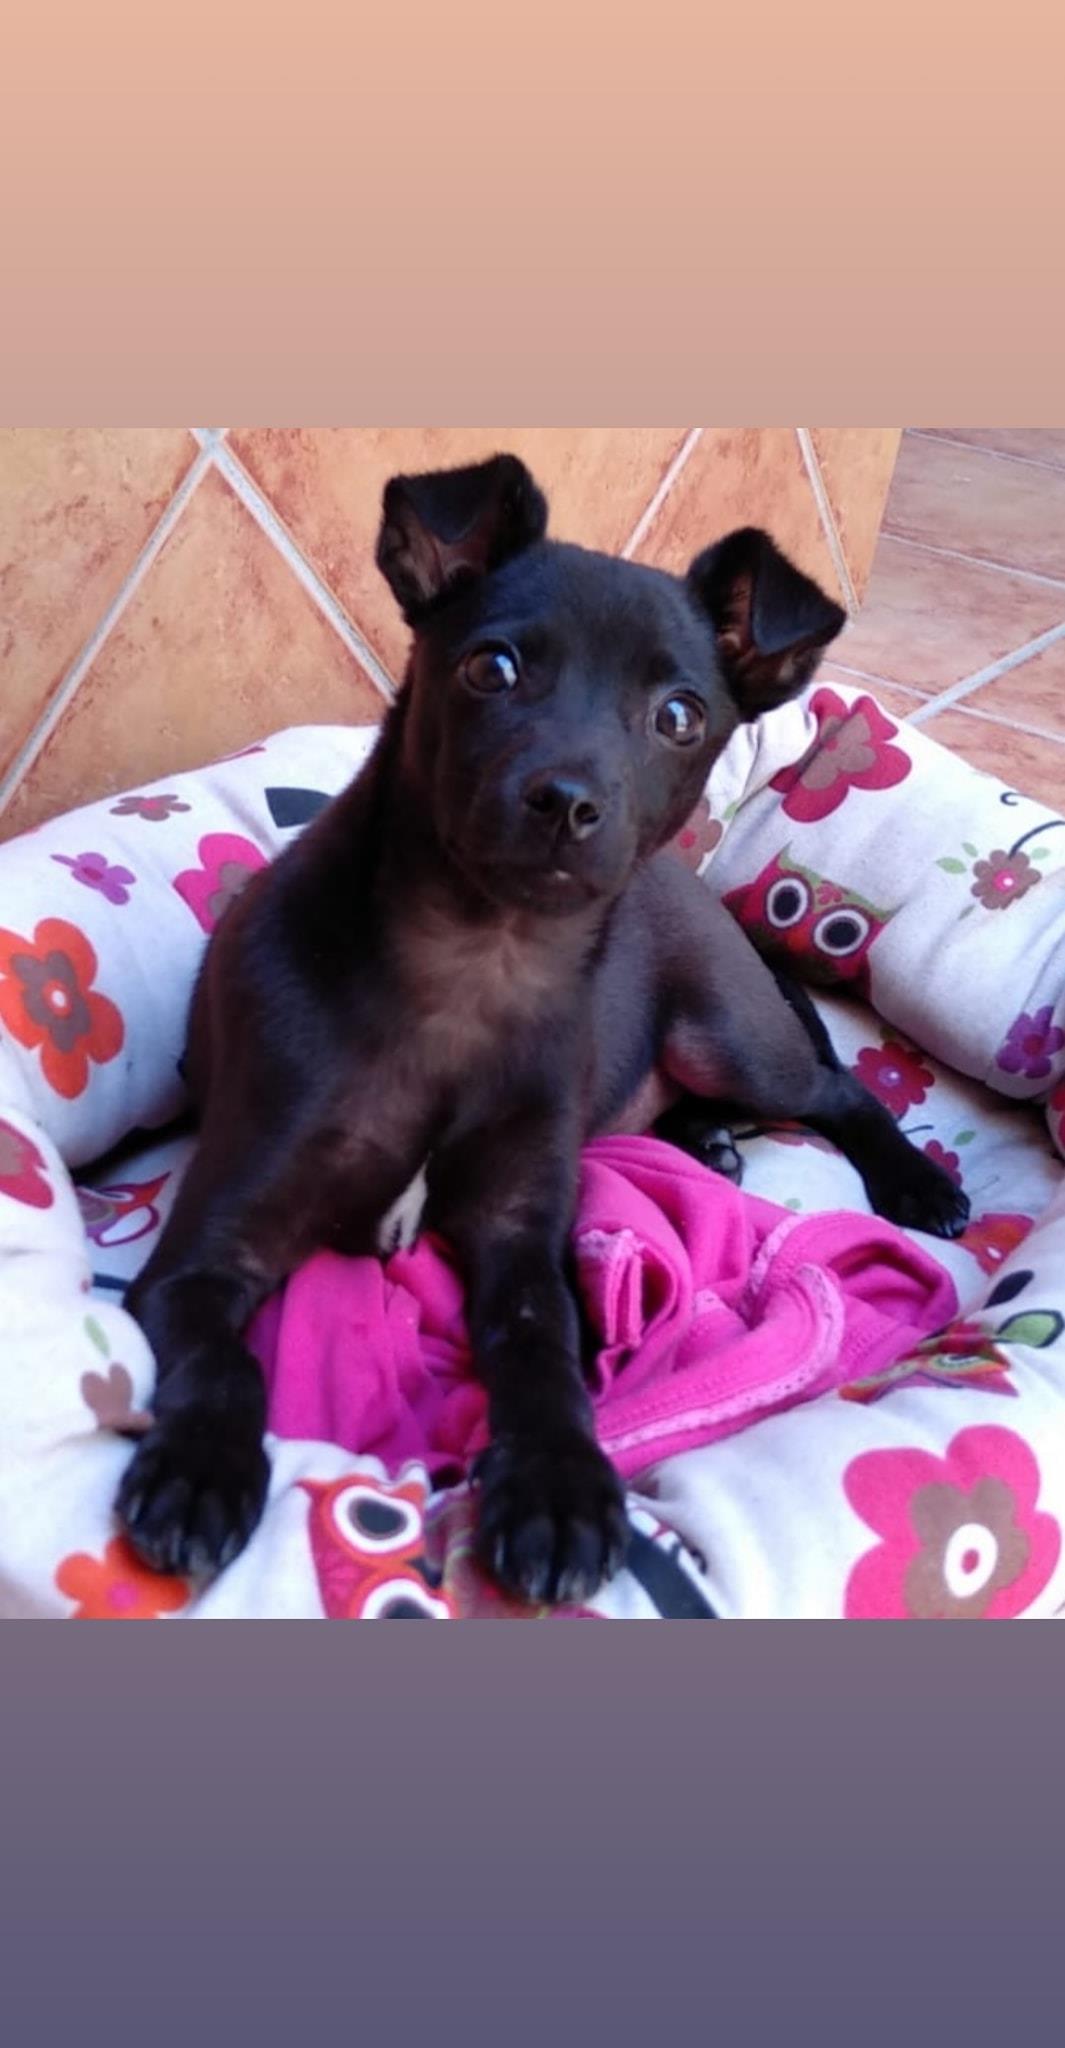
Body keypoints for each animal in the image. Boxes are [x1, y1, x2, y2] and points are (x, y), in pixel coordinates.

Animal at [115, 453, 969, 1603]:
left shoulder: (523, 1238)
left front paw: (559, 1486)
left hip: (728, 1035)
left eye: (679, 715)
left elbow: (545, 1352)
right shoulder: (208, 1252)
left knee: (839, 1089)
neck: (479, 963)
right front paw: (200, 1469)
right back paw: (703, 1140)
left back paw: (910, 1179)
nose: (566, 801)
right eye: (492, 668)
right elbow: (222, 1358)